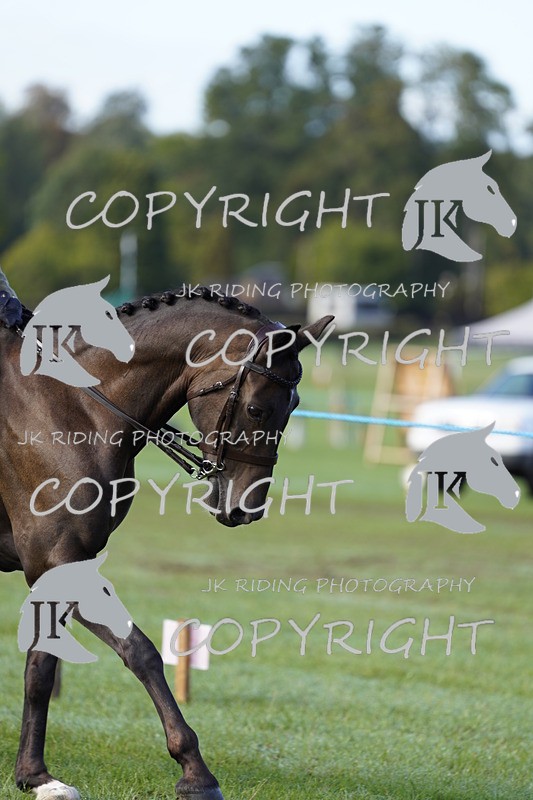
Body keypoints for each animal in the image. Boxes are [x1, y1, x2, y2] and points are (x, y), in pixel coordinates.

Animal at [0, 283, 333, 800]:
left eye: (295, 407)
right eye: (257, 409)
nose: (247, 508)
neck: (75, 407)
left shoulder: (65, 564)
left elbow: (50, 665)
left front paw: (34, 775)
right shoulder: (57, 562)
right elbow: (134, 653)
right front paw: (195, 773)